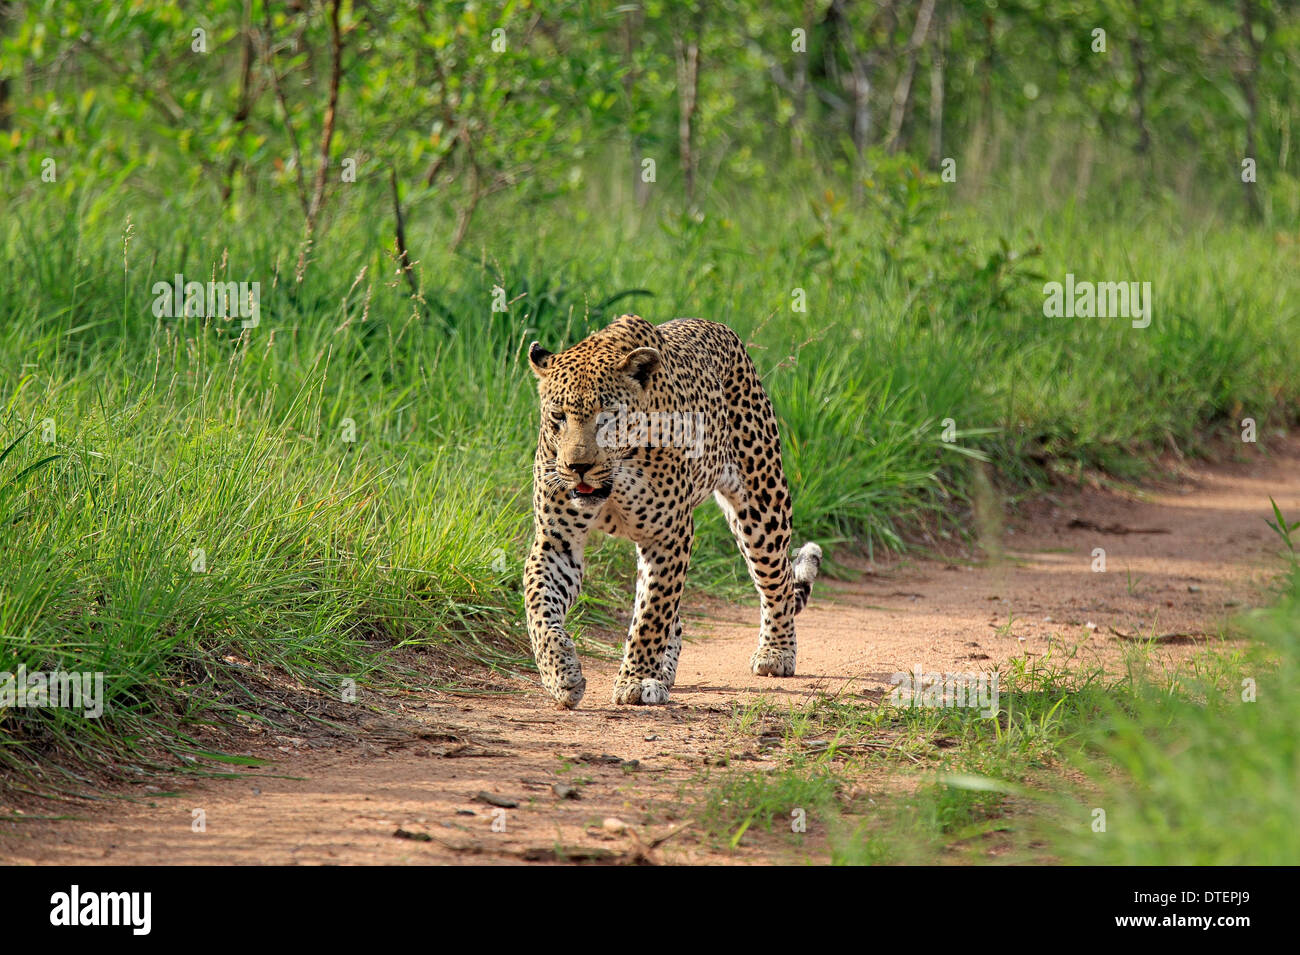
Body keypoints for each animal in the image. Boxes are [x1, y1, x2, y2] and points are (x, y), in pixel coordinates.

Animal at [520, 315, 816, 712]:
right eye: (558, 417)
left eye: (607, 418)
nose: (578, 466)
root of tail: (719, 327)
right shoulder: (557, 541)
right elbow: (539, 606)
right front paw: (560, 673)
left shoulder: (668, 535)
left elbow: (651, 614)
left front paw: (635, 680)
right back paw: (663, 671)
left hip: (762, 506)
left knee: (778, 581)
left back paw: (776, 652)